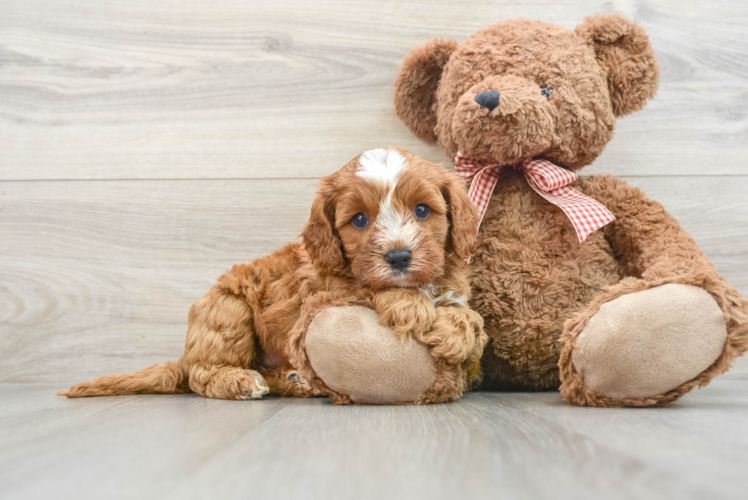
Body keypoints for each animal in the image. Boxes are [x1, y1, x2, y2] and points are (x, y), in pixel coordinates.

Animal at [58, 146, 486, 404]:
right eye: (360, 220)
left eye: (422, 210)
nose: (398, 257)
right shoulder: (325, 288)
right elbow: (365, 286)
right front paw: (410, 306)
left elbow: (468, 314)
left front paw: (456, 331)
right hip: (228, 311)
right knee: (200, 375)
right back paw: (241, 381)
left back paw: (297, 380)